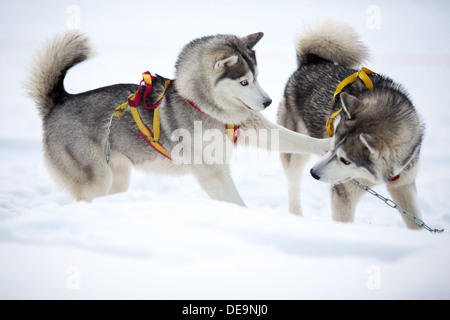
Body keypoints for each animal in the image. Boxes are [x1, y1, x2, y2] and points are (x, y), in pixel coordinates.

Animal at [26, 30, 328, 205]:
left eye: (256, 77)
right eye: (244, 82)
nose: (267, 101)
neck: (204, 106)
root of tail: (59, 102)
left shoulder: (251, 127)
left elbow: (295, 138)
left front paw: (326, 144)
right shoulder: (213, 172)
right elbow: (234, 201)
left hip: (118, 177)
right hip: (96, 179)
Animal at [280, 21, 424, 229]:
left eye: (346, 160)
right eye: (332, 146)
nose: (314, 173)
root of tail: (311, 62)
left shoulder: (404, 184)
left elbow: (416, 221)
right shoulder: (343, 193)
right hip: (296, 149)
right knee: (293, 185)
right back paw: (295, 217)